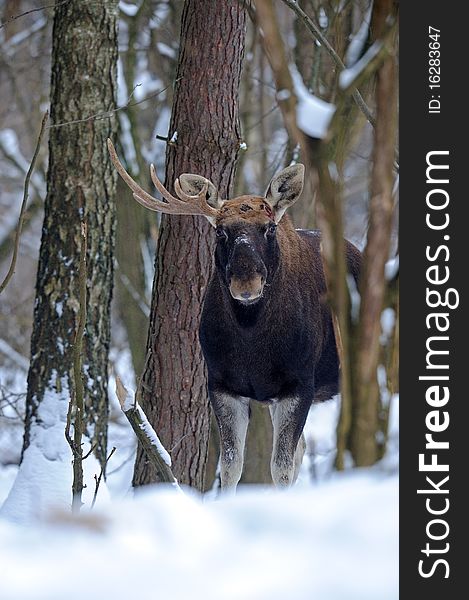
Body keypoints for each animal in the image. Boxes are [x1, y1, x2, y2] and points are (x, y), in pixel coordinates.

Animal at [108, 142, 360, 492]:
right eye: (221, 233)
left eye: (269, 228)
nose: (246, 284)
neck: (252, 345)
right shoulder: (221, 384)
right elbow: (231, 466)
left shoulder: (299, 383)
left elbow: (280, 468)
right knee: (303, 448)